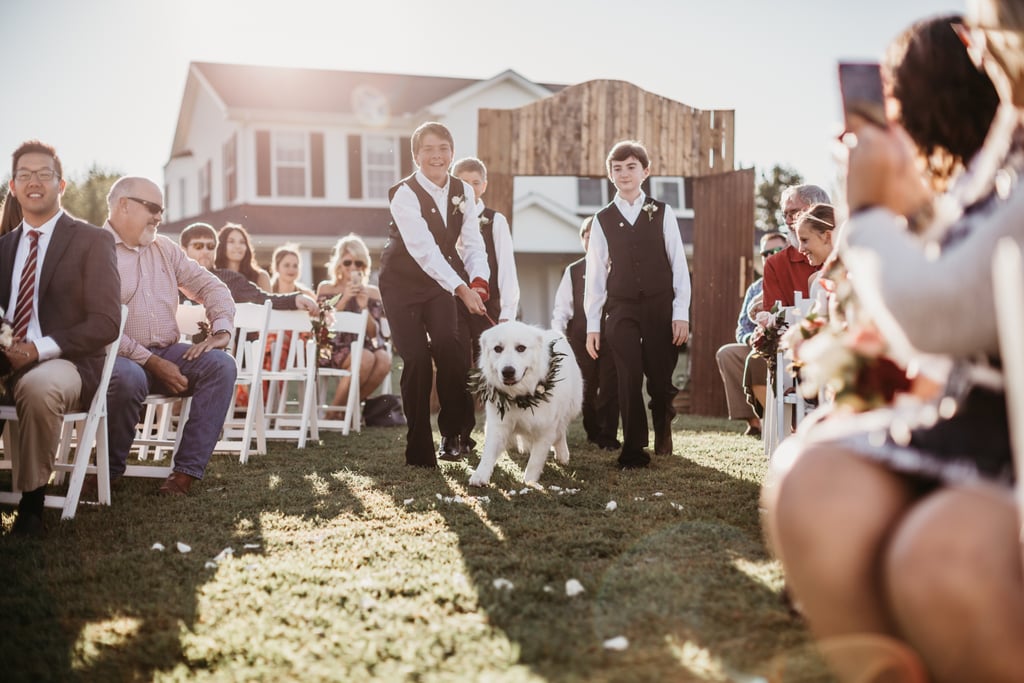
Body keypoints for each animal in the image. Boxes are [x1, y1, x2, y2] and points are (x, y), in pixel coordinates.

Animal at [466, 321, 581, 485]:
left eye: (521, 348)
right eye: (498, 349)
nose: (508, 371)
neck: (519, 397)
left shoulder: (545, 430)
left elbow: (535, 461)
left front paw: (529, 482)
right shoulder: (498, 425)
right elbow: (488, 454)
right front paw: (479, 476)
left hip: (572, 407)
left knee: (561, 431)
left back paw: (562, 454)